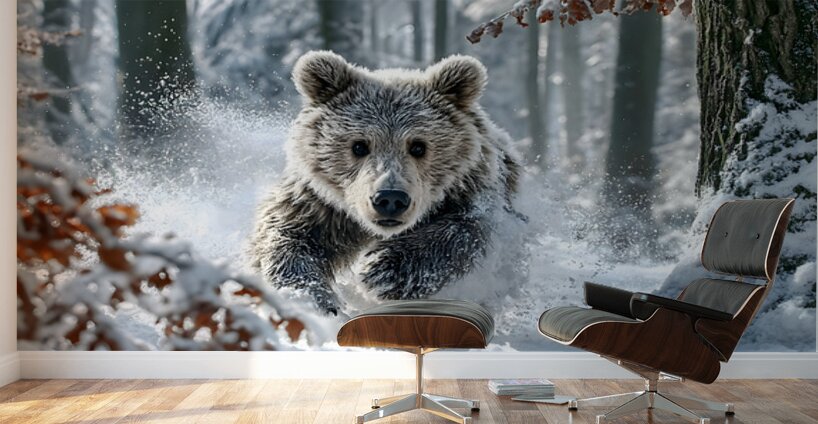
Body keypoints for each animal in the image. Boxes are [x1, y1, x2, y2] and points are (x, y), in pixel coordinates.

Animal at [249, 51, 520, 314]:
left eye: (418, 146)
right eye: (359, 145)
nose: (390, 198)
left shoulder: (470, 188)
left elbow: (466, 229)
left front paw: (382, 268)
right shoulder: (321, 204)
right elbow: (285, 234)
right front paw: (309, 298)